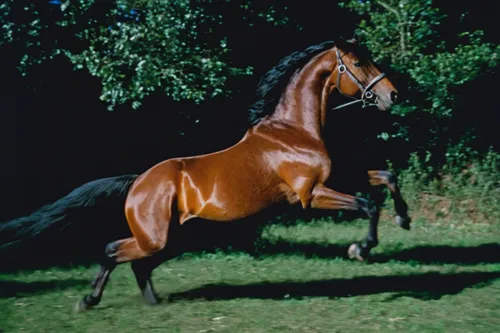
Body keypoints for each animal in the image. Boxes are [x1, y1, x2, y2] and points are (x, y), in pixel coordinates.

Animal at [73, 39, 410, 312]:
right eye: (358, 63)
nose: (392, 95)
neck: (294, 130)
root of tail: (138, 182)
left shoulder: (336, 178)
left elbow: (387, 177)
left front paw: (403, 218)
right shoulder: (311, 194)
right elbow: (369, 205)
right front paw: (360, 249)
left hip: (175, 239)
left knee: (138, 263)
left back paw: (149, 301)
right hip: (156, 239)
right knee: (113, 251)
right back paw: (87, 300)